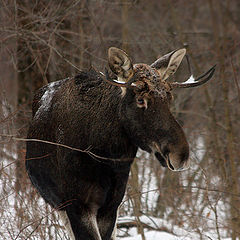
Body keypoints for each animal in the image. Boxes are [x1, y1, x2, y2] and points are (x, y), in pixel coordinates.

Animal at [25, 47, 215, 240]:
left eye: (169, 99)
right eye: (140, 99)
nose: (180, 154)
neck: (106, 156)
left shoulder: (111, 207)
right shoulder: (77, 206)